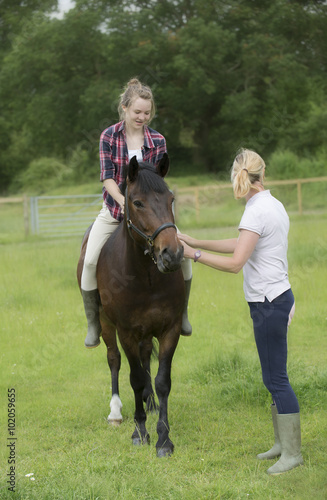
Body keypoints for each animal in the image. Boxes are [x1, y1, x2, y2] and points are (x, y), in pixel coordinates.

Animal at [76, 155, 184, 458]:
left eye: (171, 199)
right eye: (137, 202)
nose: (172, 255)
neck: (145, 275)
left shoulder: (170, 329)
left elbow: (162, 380)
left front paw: (164, 438)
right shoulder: (125, 331)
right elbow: (134, 378)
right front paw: (140, 432)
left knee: (146, 358)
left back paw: (150, 402)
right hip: (106, 324)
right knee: (114, 360)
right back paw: (116, 412)